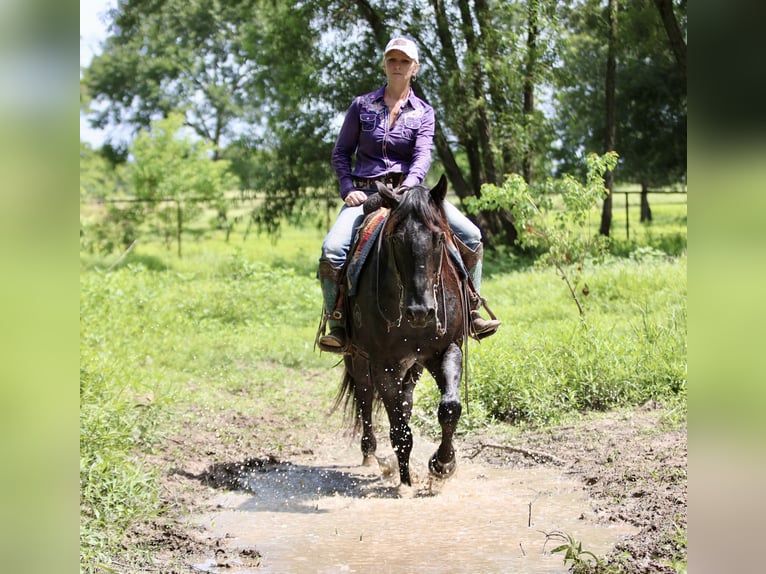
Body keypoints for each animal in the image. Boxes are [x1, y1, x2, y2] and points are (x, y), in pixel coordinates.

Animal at [336, 175, 469, 487]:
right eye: (395, 239)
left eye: (439, 237)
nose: (421, 312)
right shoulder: (384, 364)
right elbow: (399, 430)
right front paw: (406, 484)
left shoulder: (446, 350)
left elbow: (449, 407)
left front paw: (443, 464)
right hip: (357, 358)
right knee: (364, 396)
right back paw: (369, 454)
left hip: (413, 364)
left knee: (405, 399)